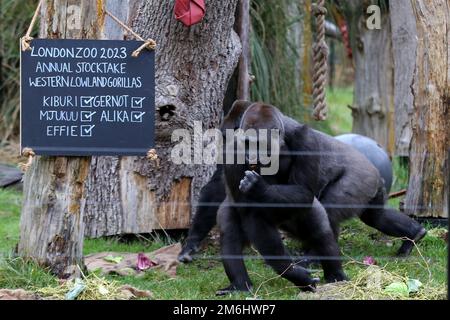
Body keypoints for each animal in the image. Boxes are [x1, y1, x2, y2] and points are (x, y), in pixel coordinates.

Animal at [216, 101, 428, 294]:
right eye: (247, 144)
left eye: (258, 144)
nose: (251, 156)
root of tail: (376, 173)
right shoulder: (233, 152)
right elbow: (250, 213)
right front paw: (296, 274)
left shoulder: (306, 140)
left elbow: (303, 192)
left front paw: (259, 188)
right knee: (375, 216)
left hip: (360, 180)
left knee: (325, 216)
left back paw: (329, 269)